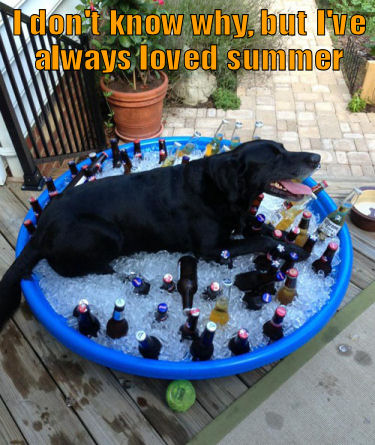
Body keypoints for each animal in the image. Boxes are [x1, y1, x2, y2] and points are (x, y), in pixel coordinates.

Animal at [0, 140, 320, 328]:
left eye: (284, 149)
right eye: (275, 157)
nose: (316, 157)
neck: (220, 185)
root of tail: (41, 227)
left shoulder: (241, 221)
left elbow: (263, 229)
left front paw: (295, 248)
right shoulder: (212, 249)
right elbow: (260, 238)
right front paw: (293, 251)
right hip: (106, 234)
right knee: (89, 269)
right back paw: (130, 277)